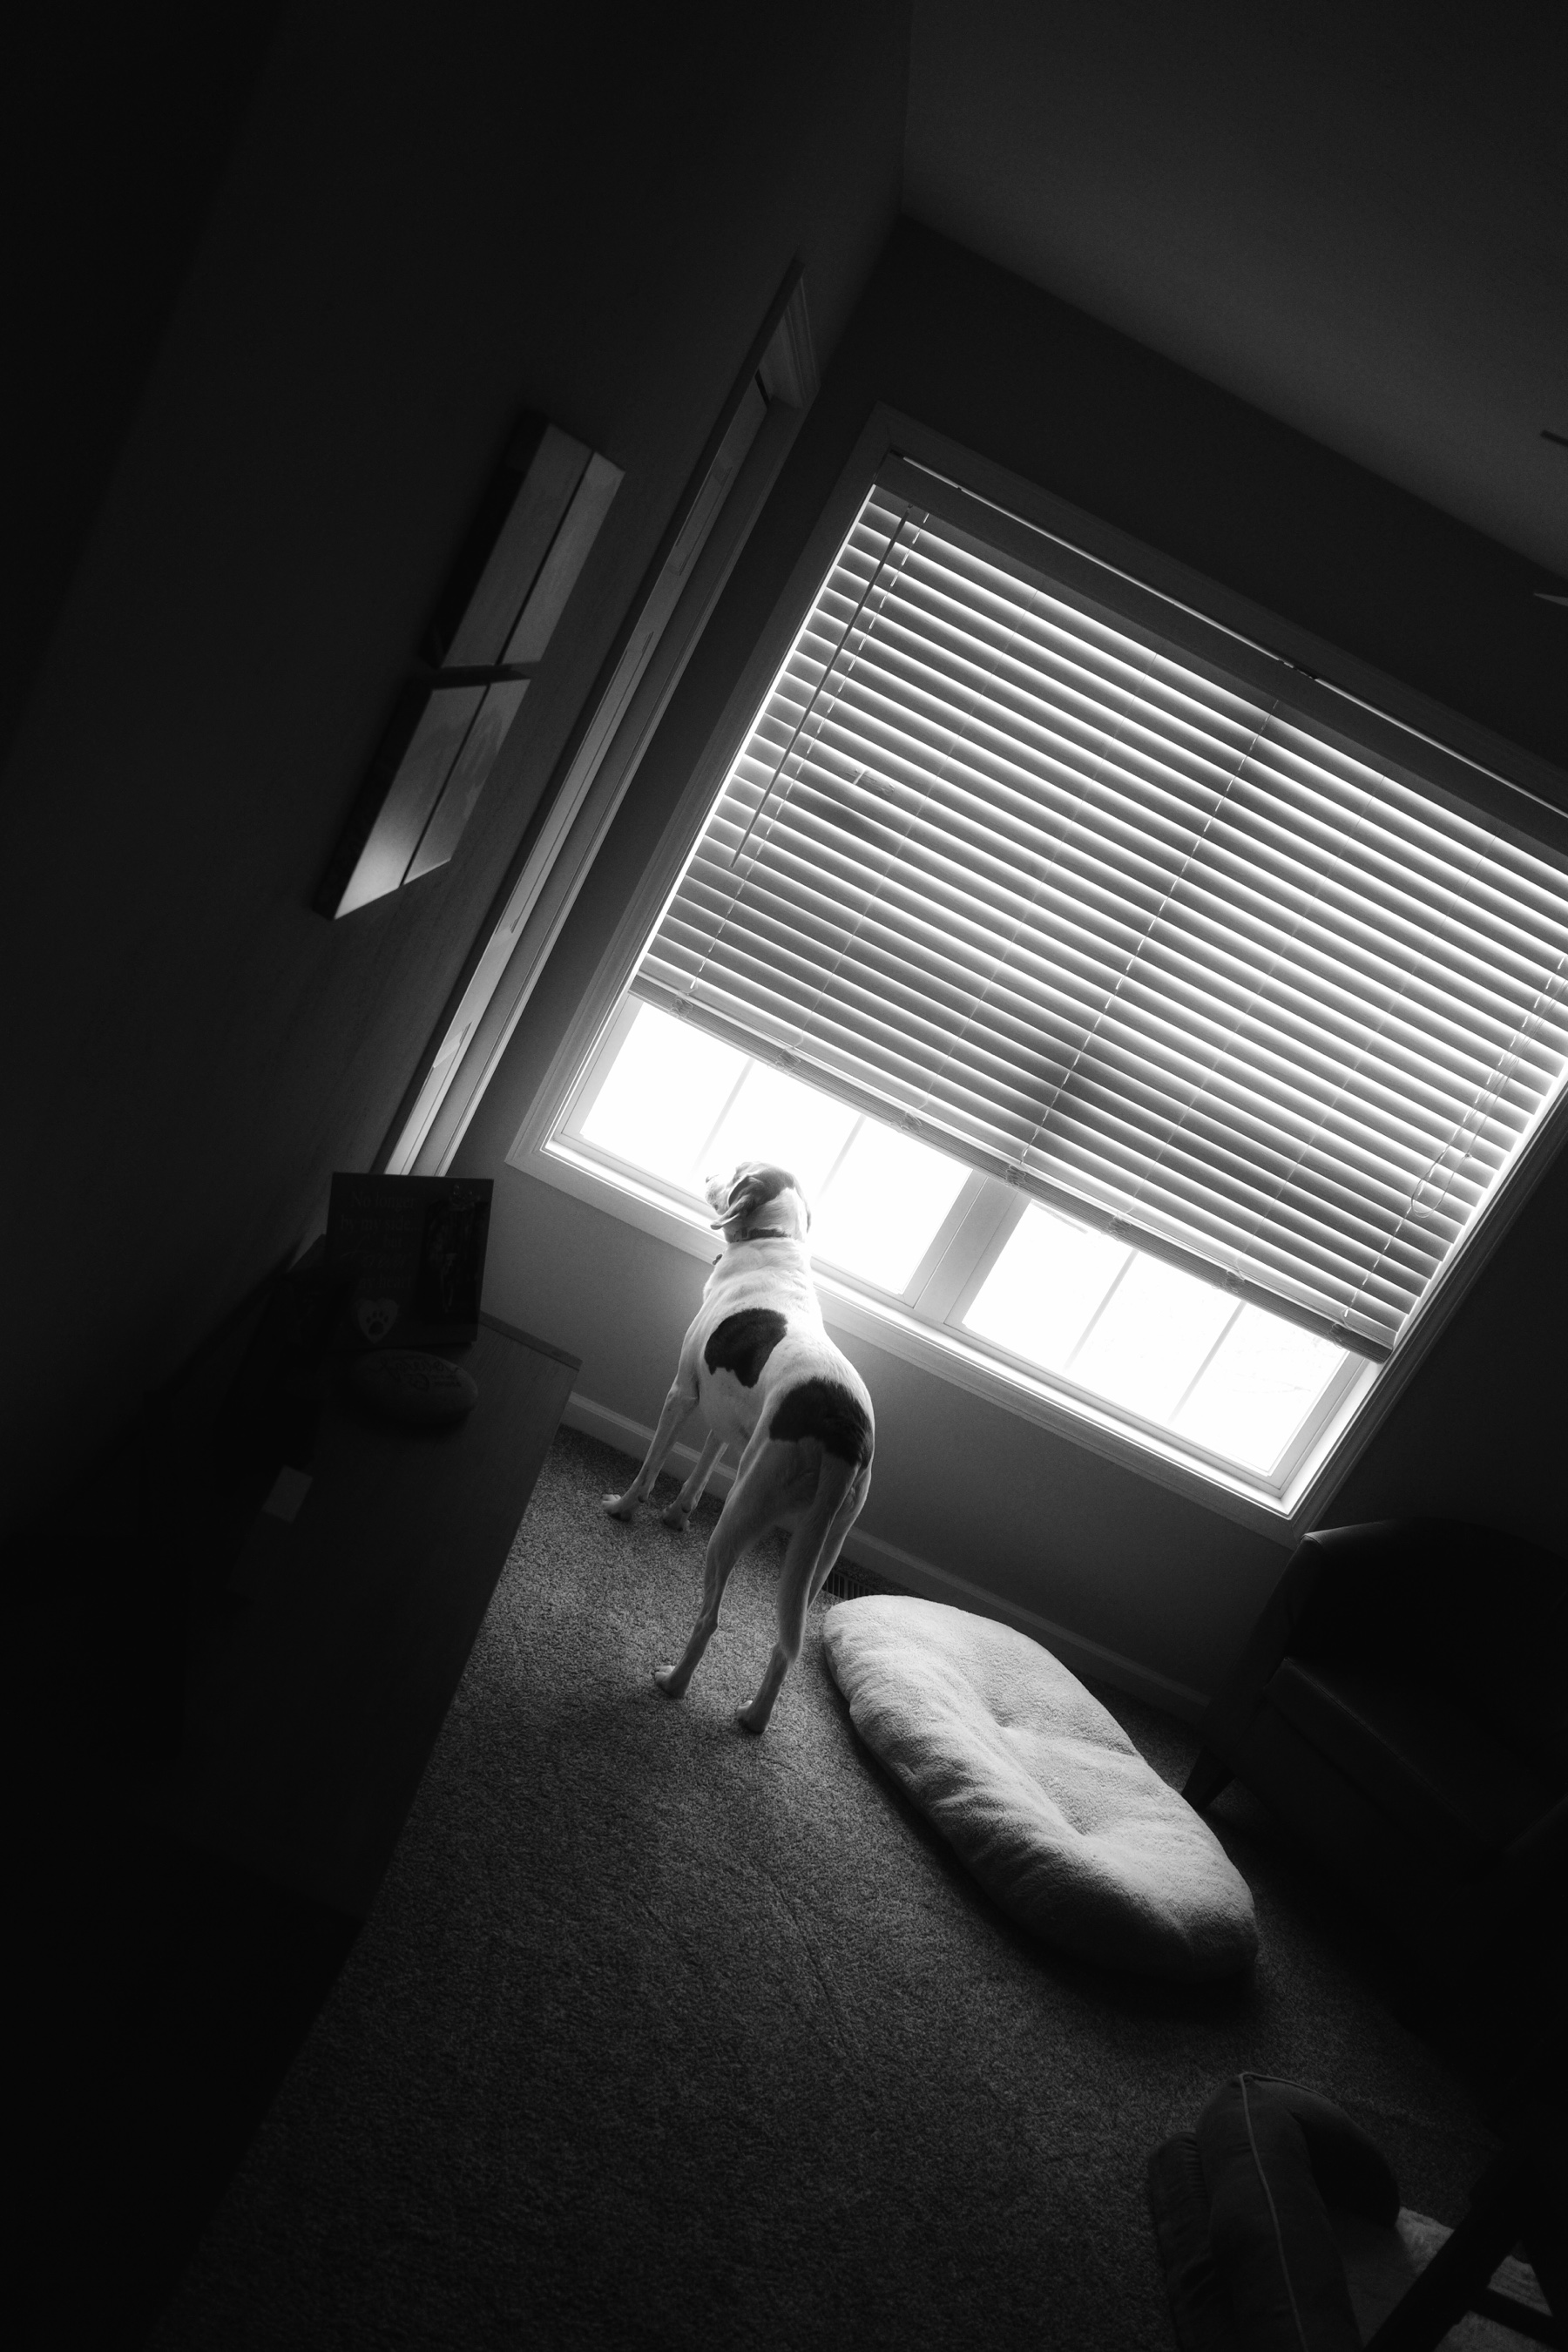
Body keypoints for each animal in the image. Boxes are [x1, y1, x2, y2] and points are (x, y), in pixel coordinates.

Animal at [603, 1161, 874, 1734]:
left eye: (737, 1170)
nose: (708, 1173)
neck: (774, 1240)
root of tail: (845, 1428)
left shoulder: (682, 1391)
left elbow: (652, 1466)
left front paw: (624, 1508)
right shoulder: (730, 1421)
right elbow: (704, 1463)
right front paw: (677, 1514)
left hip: (740, 1515)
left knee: (711, 1617)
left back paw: (673, 1683)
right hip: (818, 1554)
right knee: (784, 1647)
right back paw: (753, 1717)